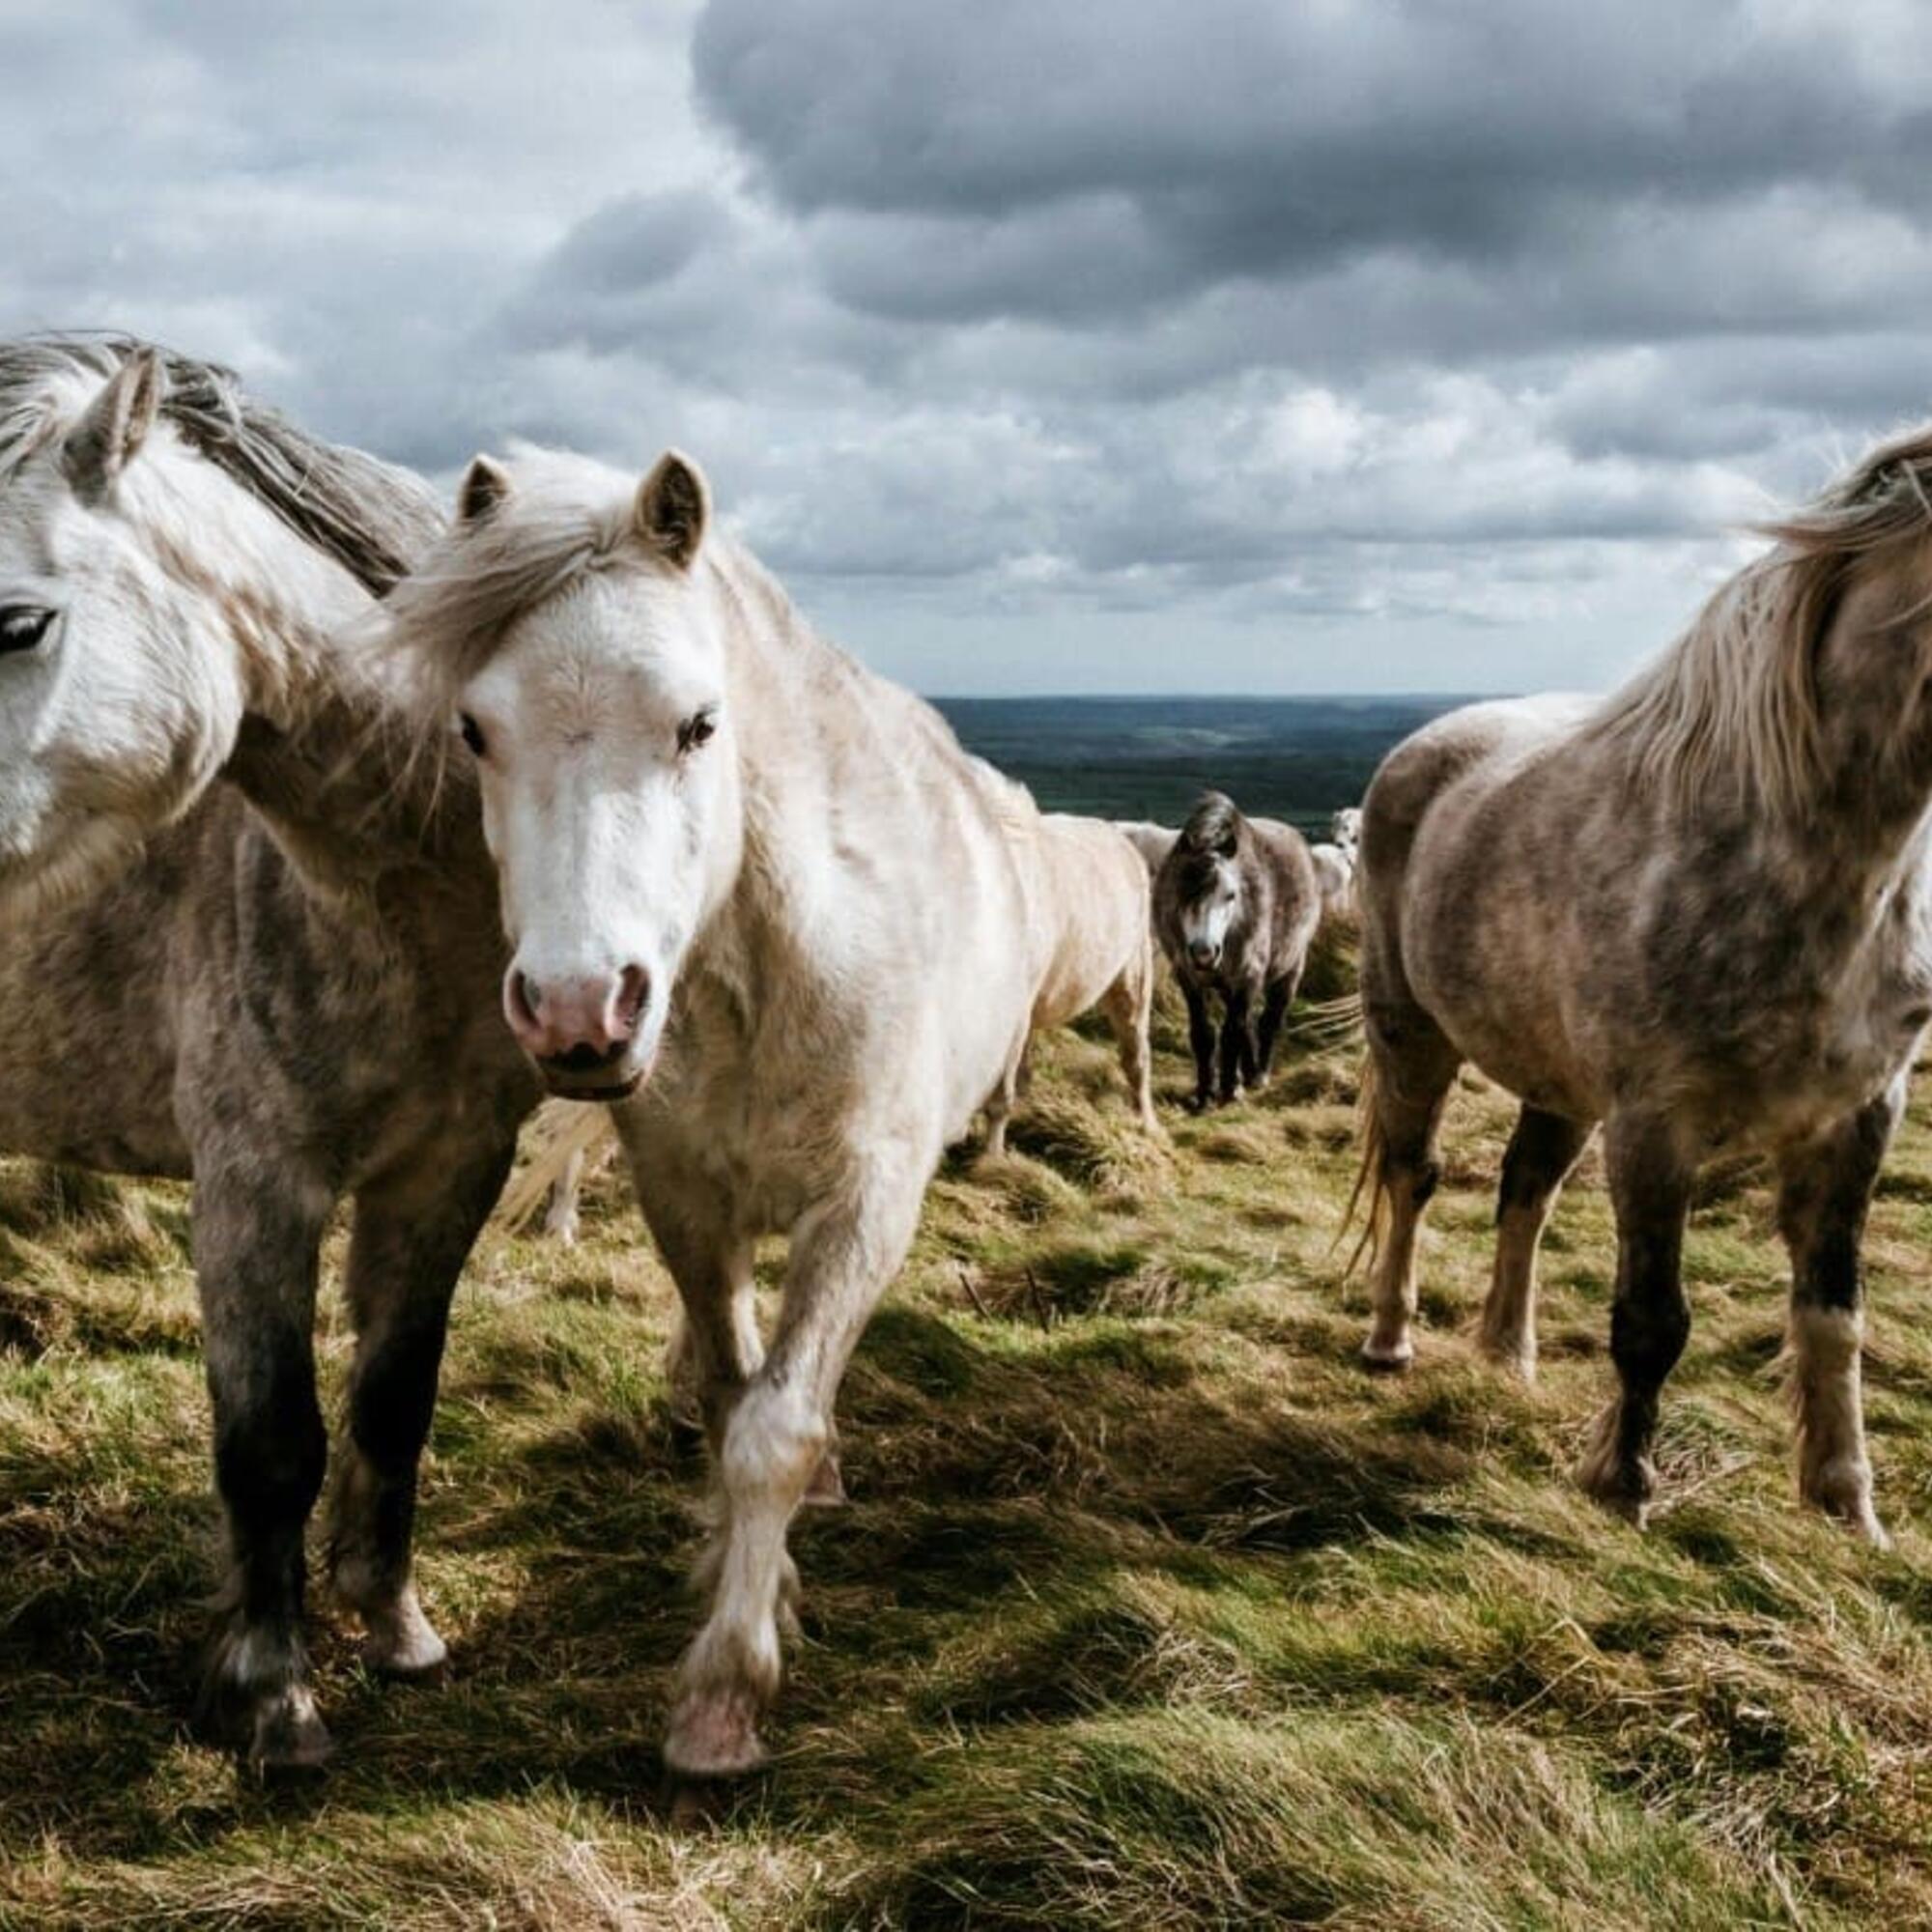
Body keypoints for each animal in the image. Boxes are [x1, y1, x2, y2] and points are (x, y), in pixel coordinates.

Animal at [0, 336, 537, 1768]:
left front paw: (394, 1626)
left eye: (19, 624)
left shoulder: (454, 1166)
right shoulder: (255, 1182)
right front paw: (270, 1693)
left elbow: (395, 1398)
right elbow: (271, 1440)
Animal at [379, 442, 1050, 1778]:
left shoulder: (863, 1206)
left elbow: (774, 1431)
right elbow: (737, 1399)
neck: (769, 973)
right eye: (475, 730)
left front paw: (725, 1693)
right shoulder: (685, 1200)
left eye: (697, 723)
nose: (578, 1007)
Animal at [1152, 793, 1321, 1109]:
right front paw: (1205, 1093)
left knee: (1268, 1021)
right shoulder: (1189, 979)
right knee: (1249, 1024)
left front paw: (1230, 1090)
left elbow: (1233, 1032)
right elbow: (1204, 1034)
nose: (1204, 953)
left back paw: (1258, 1074)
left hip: (1290, 970)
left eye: (1230, 895)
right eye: (1181, 893)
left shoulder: (1247, 975)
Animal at [1351, 423, 1932, 1543]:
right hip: (1412, 1035)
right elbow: (1653, 1319)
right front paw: (1624, 1482)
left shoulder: (1859, 1117)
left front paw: (1845, 1505)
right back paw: (1391, 1339)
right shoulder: (1656, 1123)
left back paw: (1508, 1354)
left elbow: (1832, 1314)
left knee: (1523, 1190)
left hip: (1558, 1083)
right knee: (1412, 1174)